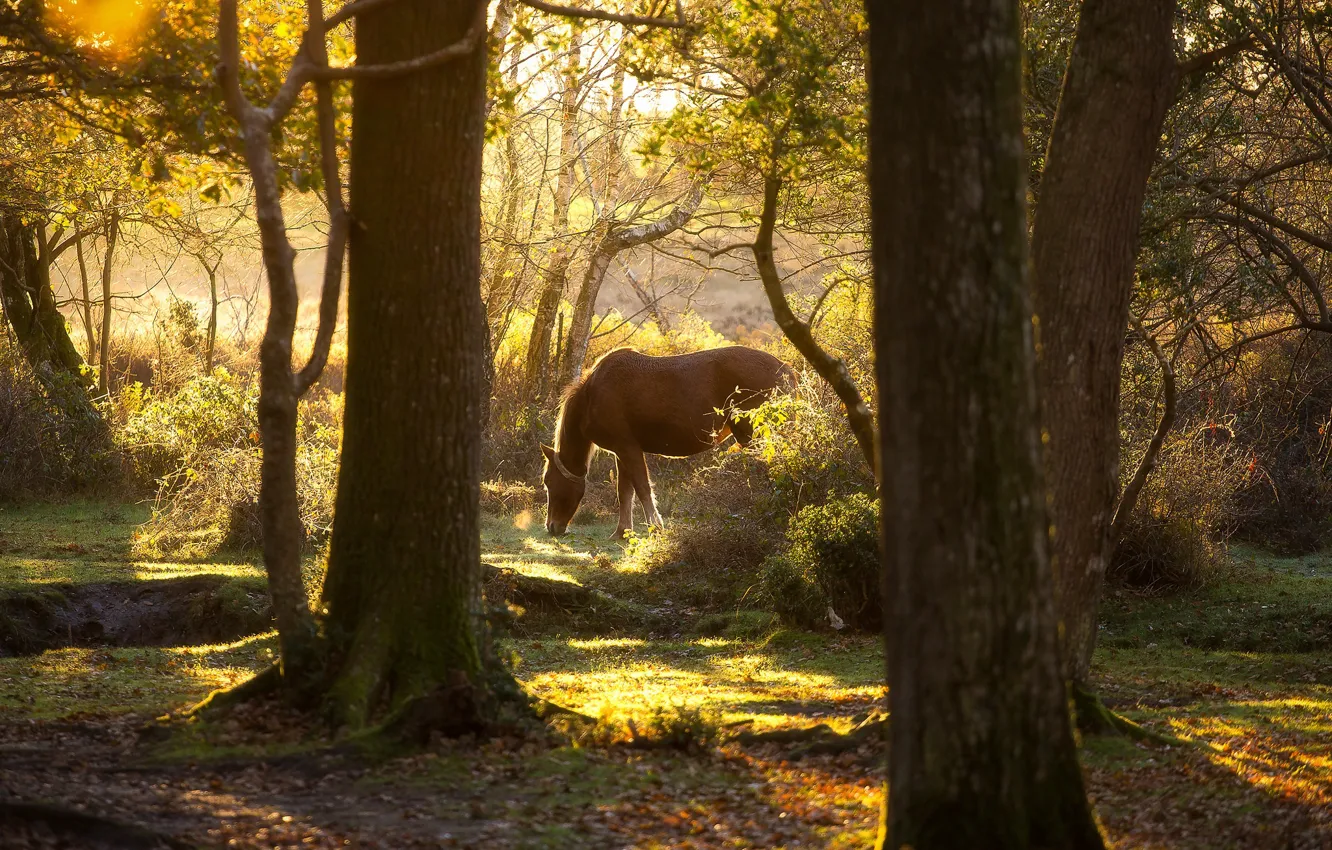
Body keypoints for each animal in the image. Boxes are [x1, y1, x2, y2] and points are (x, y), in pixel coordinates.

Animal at [541, 346, 796, 538]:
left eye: (548, 481)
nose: (552, 527)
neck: (592, 395)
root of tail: (786, 370)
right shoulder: (620, 452)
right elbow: (625, 492)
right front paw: (622, 532)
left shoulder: (628, 448)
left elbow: (642, 488)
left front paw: (656, 527)